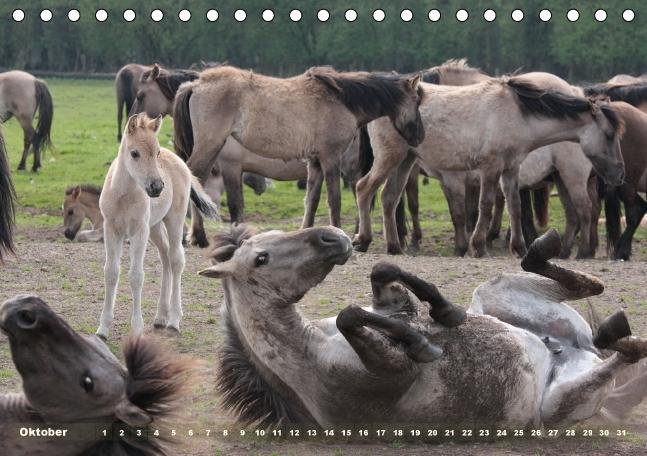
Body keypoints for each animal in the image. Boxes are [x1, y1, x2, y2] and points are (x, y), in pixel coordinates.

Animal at [96, 112, 218, 336]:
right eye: (135, 153)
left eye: (157, 152)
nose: (157, 187)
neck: (123, 195)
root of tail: (181, 161)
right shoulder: (111, 229)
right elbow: (111, 272)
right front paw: (103, 328)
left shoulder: (139, 231)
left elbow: (136, 275)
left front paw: (136, 329)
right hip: (154, 228)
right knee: (165, 257)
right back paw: (161, 316)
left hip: (173, 219)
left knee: (176, 259)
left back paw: (174, 320)